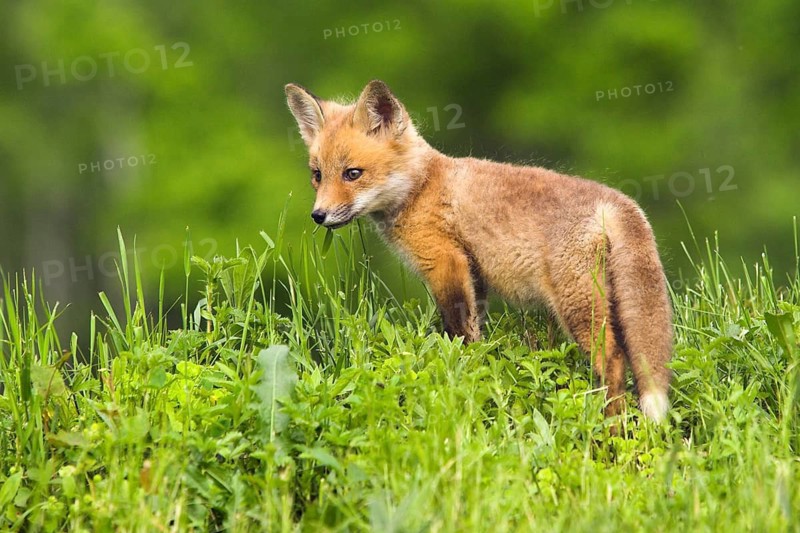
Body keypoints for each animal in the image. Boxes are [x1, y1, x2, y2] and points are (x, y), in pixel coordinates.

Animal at [285, 80, 673, 422]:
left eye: (353, 174)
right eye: (317, 175)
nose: (319, 215)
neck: (420, 188)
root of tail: (619, 203)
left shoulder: (445, 262)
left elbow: (458, 333)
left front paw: (461, 374)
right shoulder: (475, 276)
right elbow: (477, 331)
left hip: (577, 305)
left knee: (614, 362)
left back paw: (611, 427)